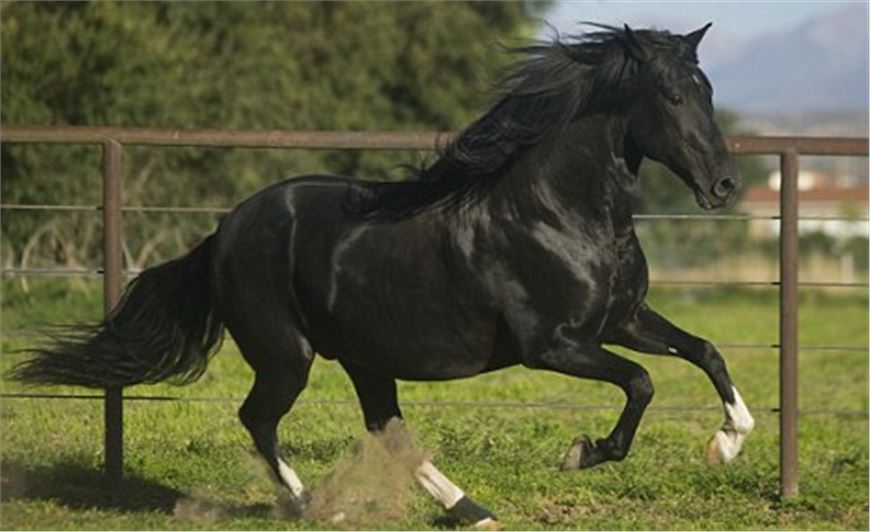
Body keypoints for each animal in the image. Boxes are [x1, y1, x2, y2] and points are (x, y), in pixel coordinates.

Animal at [12, 23, 755, 528]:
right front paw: (583, 453)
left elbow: (706, 352)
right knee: (260, 418)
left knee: (385, 427)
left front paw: (729, 441)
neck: (558, 212)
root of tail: (225, 230)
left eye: (708, 91)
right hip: (288, 356)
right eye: (672, 96)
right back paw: (314, 504)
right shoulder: (553, 346)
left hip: (365, 355)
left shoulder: (621, 320)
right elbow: (643, 382)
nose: (723, 185)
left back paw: (470, 510)